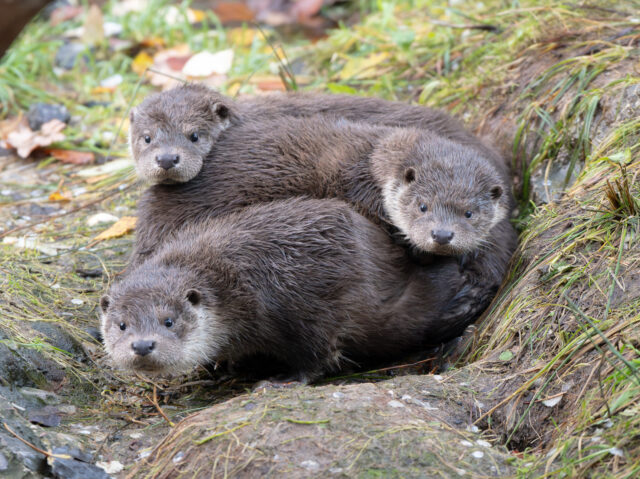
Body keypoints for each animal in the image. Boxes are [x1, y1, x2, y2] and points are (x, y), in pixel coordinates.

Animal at [100, 197, 492, 380]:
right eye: (121, 325)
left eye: (168, 321)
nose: (142, 345)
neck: (227, 285)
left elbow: (317, 356)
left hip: (318, 306)